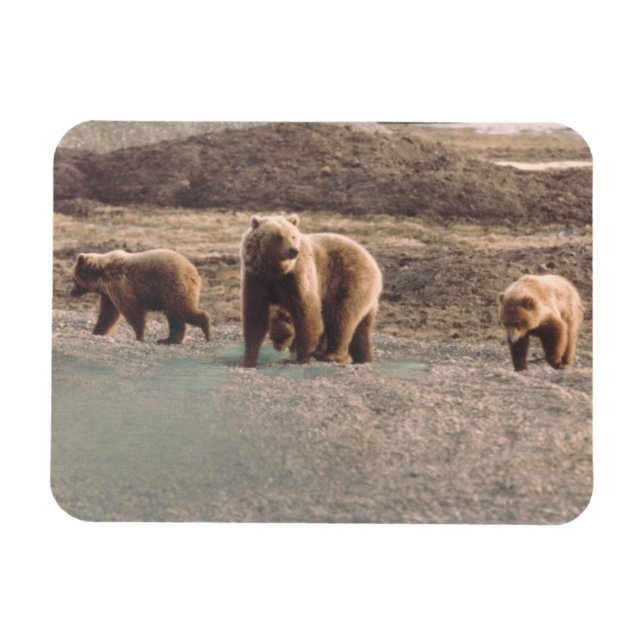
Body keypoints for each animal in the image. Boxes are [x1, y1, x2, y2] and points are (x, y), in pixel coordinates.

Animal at [71, 249, 210, 343]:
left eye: (74, 280)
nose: (71, 292)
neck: (102, 276)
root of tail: (194, 271)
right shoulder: (109, 294)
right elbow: (108, 314)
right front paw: (97, 331)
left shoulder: (121, 285)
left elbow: (132, 311)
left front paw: (139, 336)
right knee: (175, 316)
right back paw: (169, 339)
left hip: (173, 286)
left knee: (180, 309)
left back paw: (206, 330)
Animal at [240, 214, 382, 368]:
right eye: (278, 236)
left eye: (293, 236)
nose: (293, 251)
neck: (276, 271)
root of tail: (371, 260)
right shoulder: (257, 278)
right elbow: (255, 315)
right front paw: (249, 359)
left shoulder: (298, 276)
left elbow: (307, 313)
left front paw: (301, 357)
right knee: (361, 329)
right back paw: (363, 357)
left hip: (350, 281)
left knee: (342, 317)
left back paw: (331, 355)